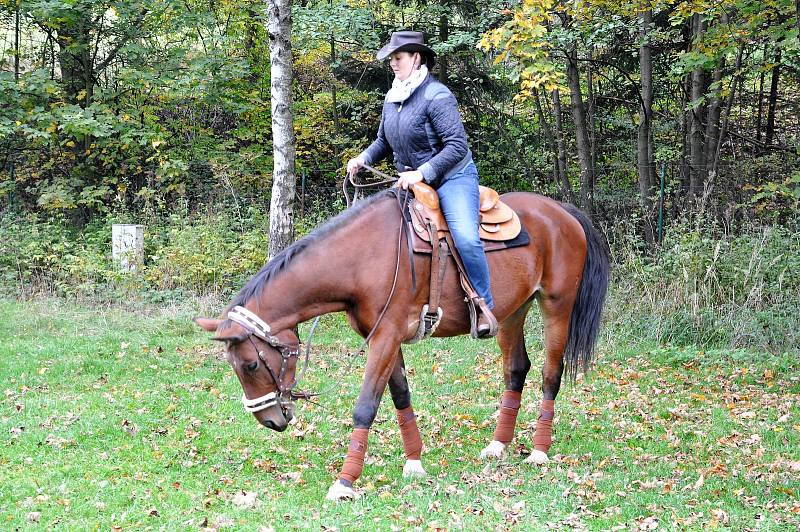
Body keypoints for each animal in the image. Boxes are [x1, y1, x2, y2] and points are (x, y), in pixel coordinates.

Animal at [197, 189, 608, 500]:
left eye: (250, 364)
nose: (270, 421)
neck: (361, 260)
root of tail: (562, 212)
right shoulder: (386, 339)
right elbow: (400, 395)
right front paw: (414, 462)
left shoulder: (385, 338)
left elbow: (365, 406)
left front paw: (345, 481)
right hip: (512, 312)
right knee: (516, 369)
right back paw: (498, 445)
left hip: (557, 307)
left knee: (550, 373)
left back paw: (539, 451)